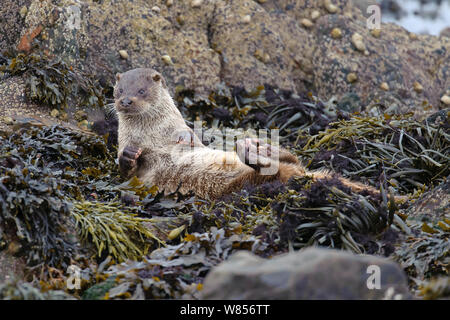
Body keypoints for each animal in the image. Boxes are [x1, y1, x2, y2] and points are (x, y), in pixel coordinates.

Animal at [114, 68, 384, 200]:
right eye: (119, 90)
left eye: (141, 90)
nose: (125, 100)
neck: (155, 134)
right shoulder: (140, 173)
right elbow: (127, 172)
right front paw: (129, 154)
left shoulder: (181, 129)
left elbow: (192, 137)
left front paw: (186, 137)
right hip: (246, 184)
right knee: (278, 169)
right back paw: (254, 150)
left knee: (292, 161)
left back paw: (258, 146)